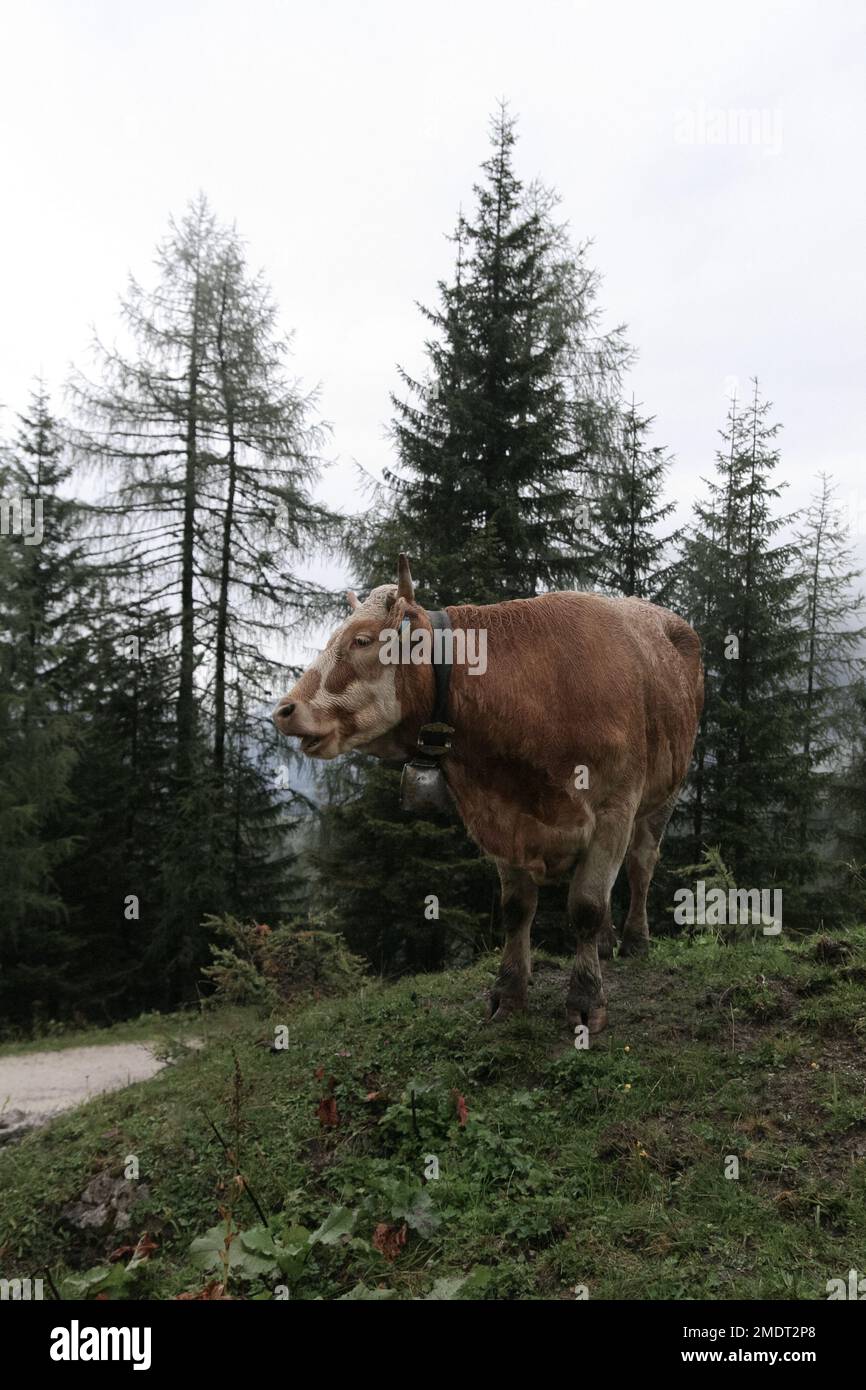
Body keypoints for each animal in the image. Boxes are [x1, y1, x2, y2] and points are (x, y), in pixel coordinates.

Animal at [273, 553, 700, 1034]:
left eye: (361, 640)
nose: (284, 710)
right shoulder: (502, 814)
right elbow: (517, 907)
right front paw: (509, 992)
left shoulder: (615, 809)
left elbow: (587, 905)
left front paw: (586, 998)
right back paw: (607, 944)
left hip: (666, 791)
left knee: (641, 865)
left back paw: (635, 941)